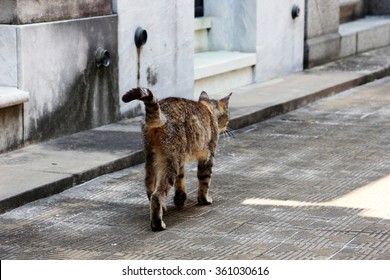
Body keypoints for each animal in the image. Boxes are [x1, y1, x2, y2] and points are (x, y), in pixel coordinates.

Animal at [122, 88, 232, 232]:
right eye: (227, 115)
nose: (227, 125)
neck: (207, 107)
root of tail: (162, 113)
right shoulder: (208, 157)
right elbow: (204, 181)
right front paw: (204, 200)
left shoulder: (181, 160)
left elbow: (180, 179)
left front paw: (180, 198)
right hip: (170, 161)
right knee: (157, 195)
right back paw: (158, 224)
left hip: (153, 159)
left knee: (150, 188)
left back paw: (162, 208)